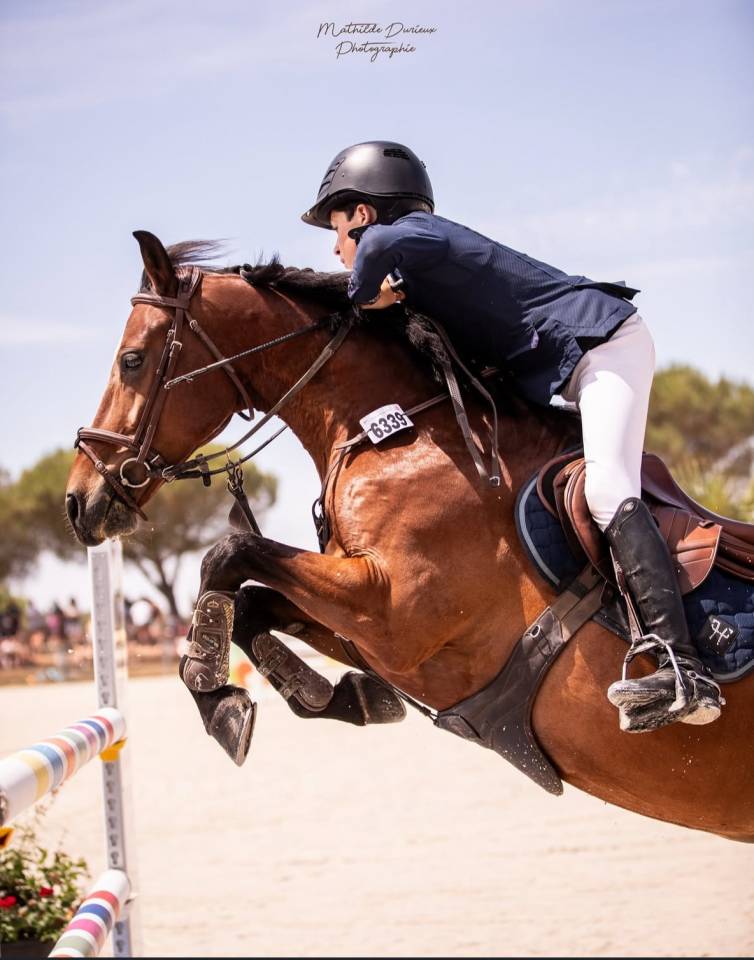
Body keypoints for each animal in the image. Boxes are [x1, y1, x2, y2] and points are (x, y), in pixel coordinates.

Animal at [65, 230, 754, 842]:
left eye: (132, 360)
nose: (79, 502)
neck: (393, 436)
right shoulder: (372, 629)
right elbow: (255, 603)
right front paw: (334, 696)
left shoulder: (395, 615)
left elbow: (227, 554)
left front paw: (217, 698)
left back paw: (677, 690)